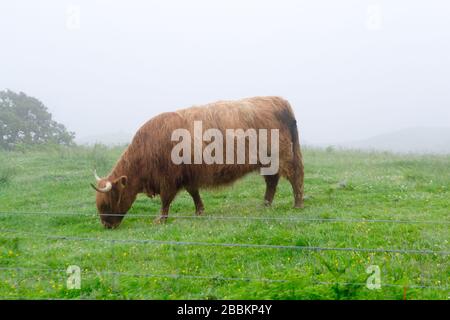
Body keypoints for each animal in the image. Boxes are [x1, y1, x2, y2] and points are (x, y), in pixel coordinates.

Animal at [90, 96, 302, 229]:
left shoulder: (168, 178)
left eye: (107, 203)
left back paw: (297, 204)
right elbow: (194, 193)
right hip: (269, 162)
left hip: (283, 156)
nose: (106, 225)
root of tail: (279, 101)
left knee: (295, 176)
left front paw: (160, 219)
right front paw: (200, 211)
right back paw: (265, 205)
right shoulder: (187, 175)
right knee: (272, 181)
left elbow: (166, 200)